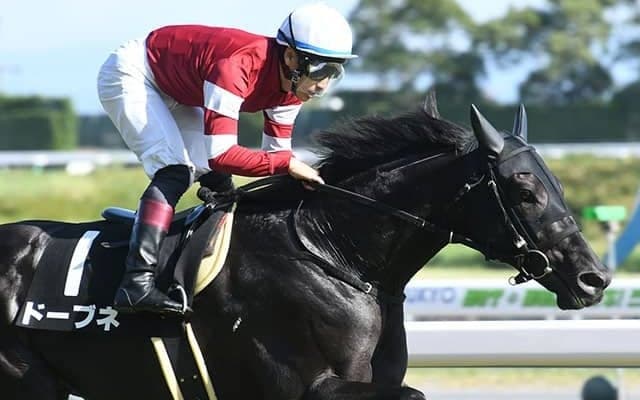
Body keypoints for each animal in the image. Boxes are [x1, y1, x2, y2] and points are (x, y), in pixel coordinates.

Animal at [0, 94, 611, 400]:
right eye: (525, 191)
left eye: (556, 183)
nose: (595, 278)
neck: (335, 253)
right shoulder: (306, 387)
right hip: (27, 383)